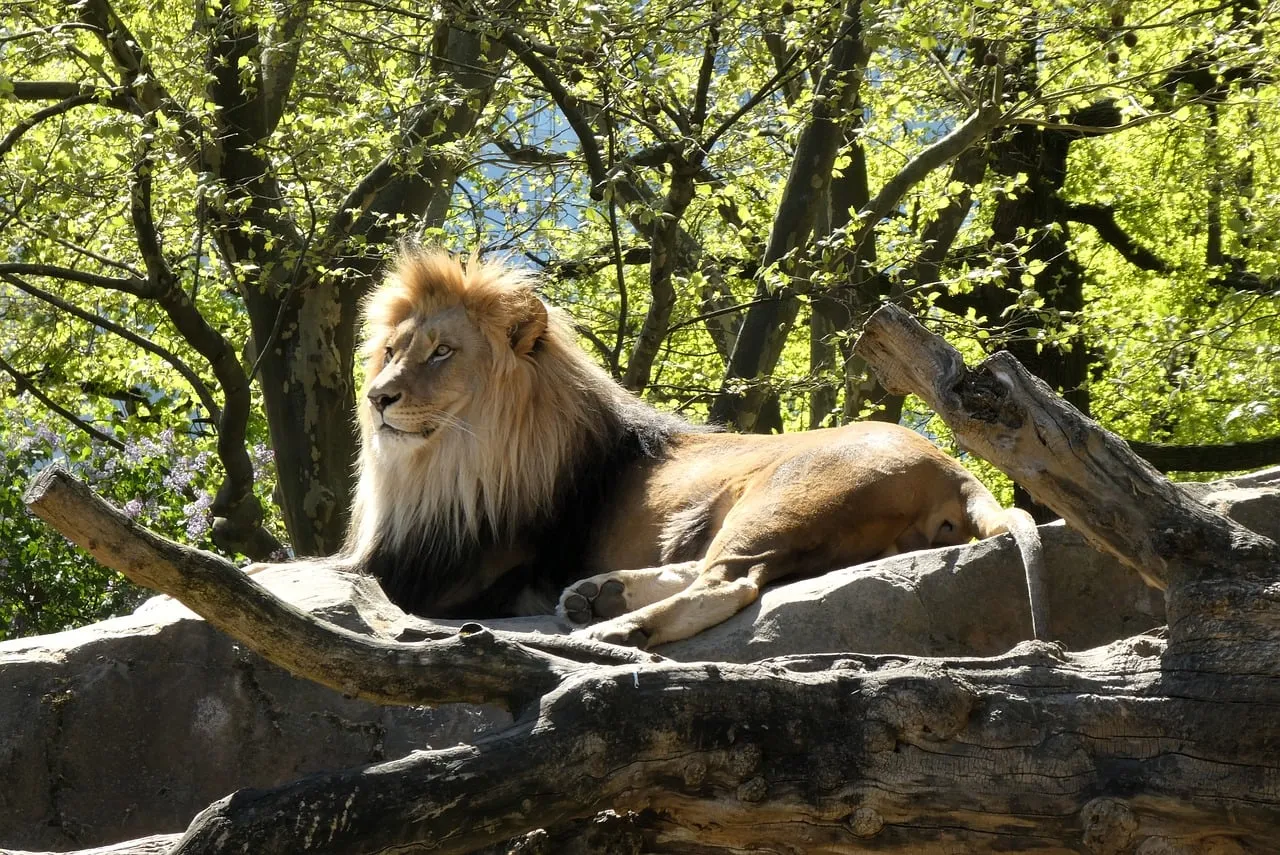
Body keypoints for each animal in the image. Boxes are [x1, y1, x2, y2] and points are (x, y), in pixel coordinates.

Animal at [344, 249, 1047, 648]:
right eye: (391, 350)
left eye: (442, 352)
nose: (377, 397)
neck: (444, 466)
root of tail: (957, 469)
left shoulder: (451, 574)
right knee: (718, 569)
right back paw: (596, 595)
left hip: (783, 497)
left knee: (730, 584)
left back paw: (614, 625)